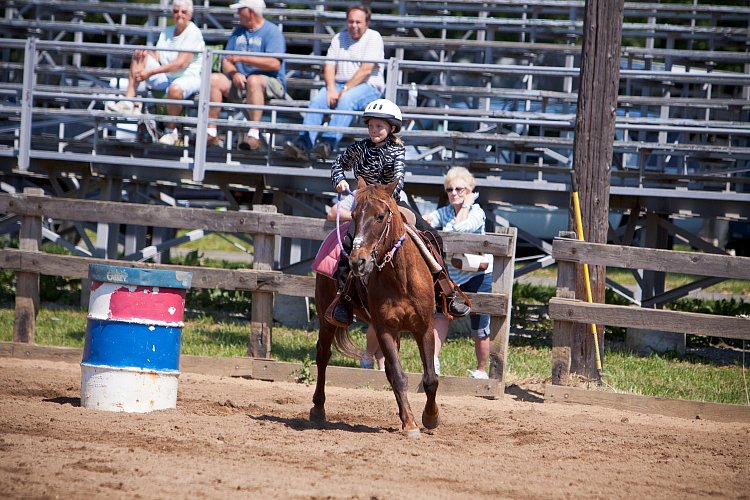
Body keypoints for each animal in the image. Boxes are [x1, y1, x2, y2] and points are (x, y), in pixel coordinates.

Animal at [312, 178, 440, 436]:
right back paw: (318, 409)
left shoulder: (424, 327)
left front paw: (430, 418)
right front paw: (411, 424)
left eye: (380, 216)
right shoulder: (385, 328)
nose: (357, 261)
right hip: (326, 318)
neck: (401, 278)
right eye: (353, 215)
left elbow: (430, 378)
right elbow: (399, 376)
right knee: (323, 355)